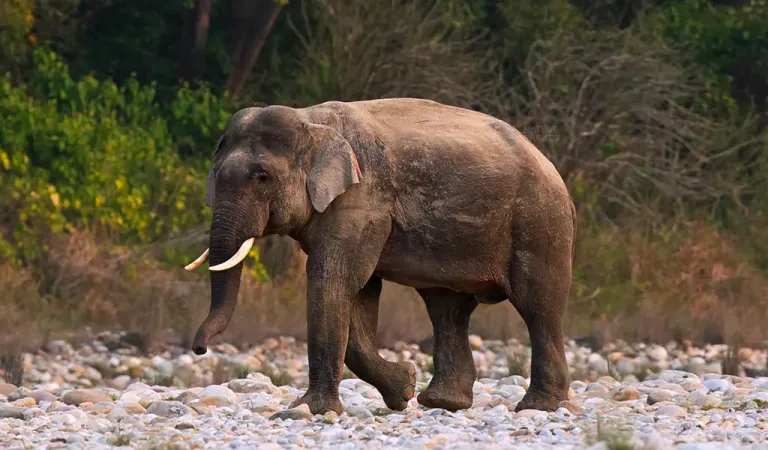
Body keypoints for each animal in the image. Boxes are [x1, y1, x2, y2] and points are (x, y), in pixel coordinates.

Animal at [185, 98, 577, 415]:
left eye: (263, 177)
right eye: (215, 175)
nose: (199, 349)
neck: (311, 120)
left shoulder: (363, 198)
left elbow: (334, 280)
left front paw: (307, 410)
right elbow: (360, 293)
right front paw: (404, 387)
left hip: (540, 223)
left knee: (538, 307)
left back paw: (536, 406)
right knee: (448, 309)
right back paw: (442, 402)